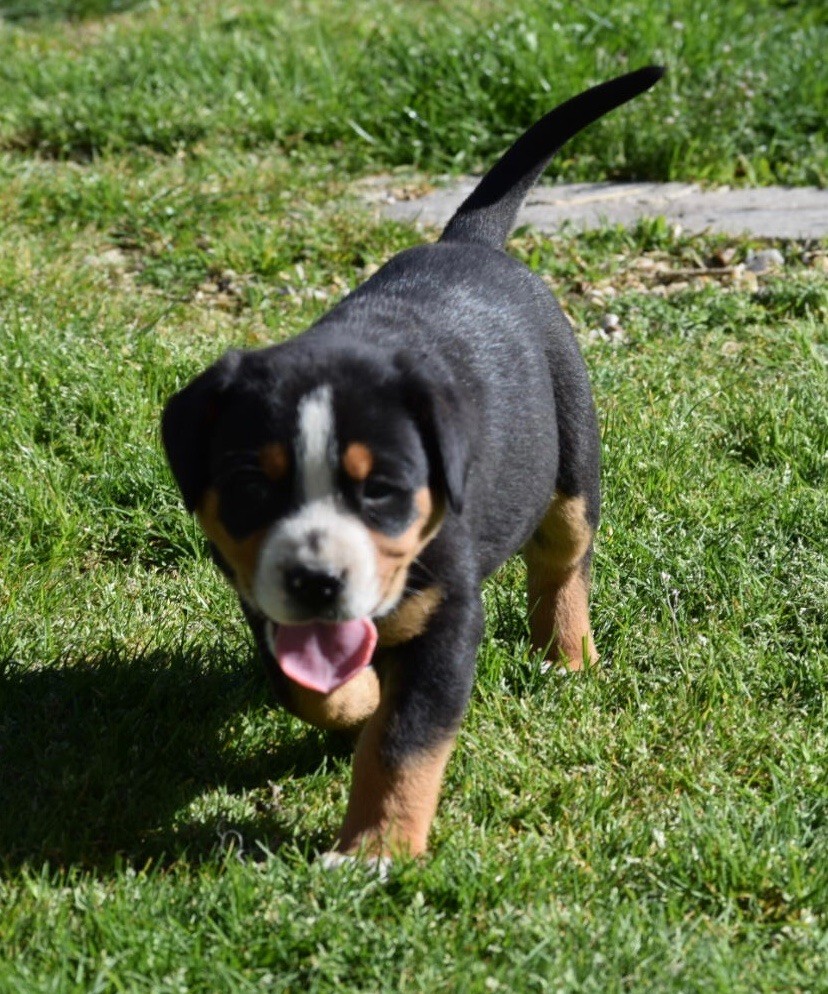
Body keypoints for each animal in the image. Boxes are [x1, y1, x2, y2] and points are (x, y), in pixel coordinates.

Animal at [161, 66, 664, 859]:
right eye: (250, 486)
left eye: (382, 490)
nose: (316, 580)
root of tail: (468, 241)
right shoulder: (262, 601)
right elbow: (307, 684)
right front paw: (358, 698)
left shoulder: (446, 618)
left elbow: (403, 743)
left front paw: (375, 848)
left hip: (573, 465)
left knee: (562, 562)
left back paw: (566, 655)